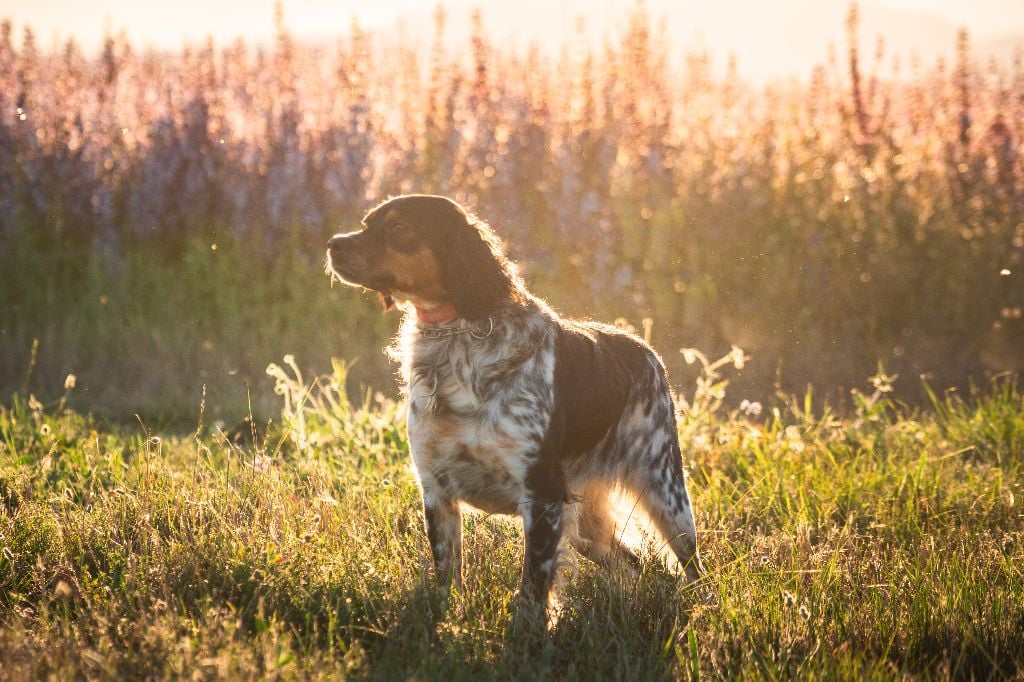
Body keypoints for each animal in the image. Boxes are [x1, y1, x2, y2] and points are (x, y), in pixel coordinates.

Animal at [327, 193, 704, 602]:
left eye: (398, 228)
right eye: (367, 223)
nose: (333, 244)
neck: (456, 342)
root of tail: (645, 350)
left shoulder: (543, 495)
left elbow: (533, 594)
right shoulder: (436, 489)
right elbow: (448, 577)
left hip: (666, 492)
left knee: (694, 568)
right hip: (586, 519)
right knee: (633, 563)